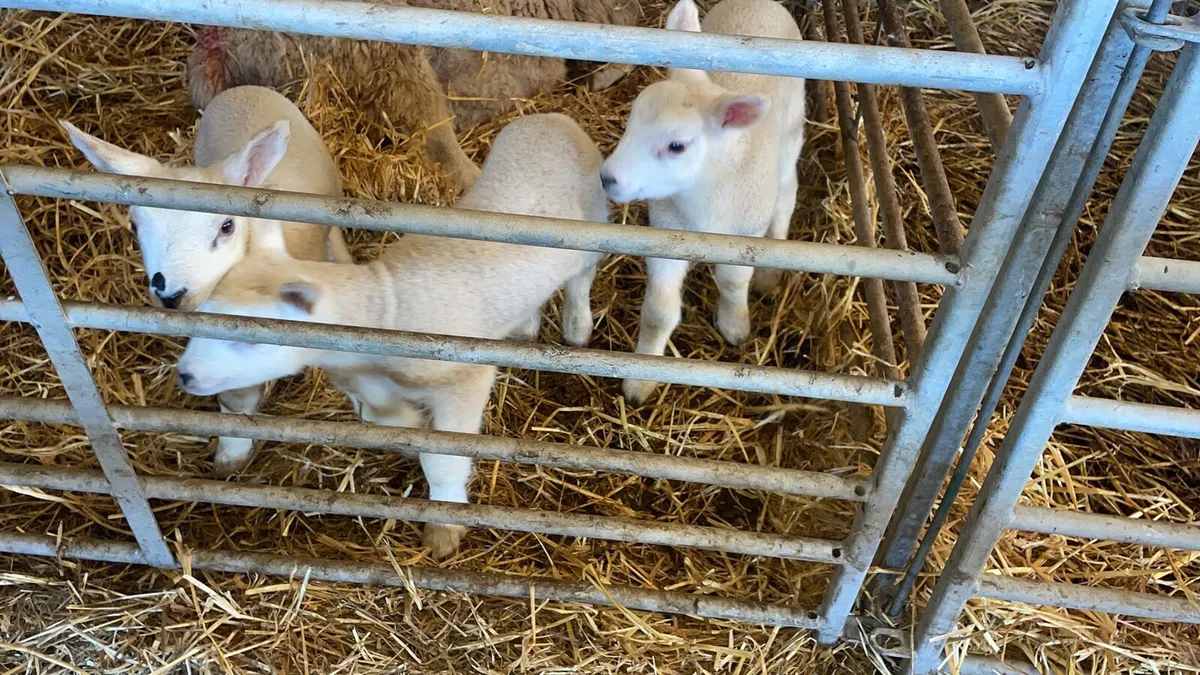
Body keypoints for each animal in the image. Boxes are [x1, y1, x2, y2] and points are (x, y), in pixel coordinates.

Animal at [61, 85, 355, 477]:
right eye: (135, 225)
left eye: (227, 226)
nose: (170, 294)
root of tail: (244, 89)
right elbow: (233, 394)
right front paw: (231, 454)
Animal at [174, 113, 608, 558]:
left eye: (250, 337)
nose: (185, 375)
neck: (386, 310)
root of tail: (554, 117)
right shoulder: (364, 378)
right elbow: (382, 417)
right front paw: (407, 425)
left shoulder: (464, 379)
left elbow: (444, 458)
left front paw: (444, 528)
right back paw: (525, 326)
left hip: (594, 223)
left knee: (582, 276)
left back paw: (577, 327)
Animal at [598, 0, 806, 405]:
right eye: (630, 123)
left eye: (677, 145)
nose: (608, 178)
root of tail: (761, 2)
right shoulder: (666, 234)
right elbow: (658, 312)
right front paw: (640, 380)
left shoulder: (743, 234)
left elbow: (733, 283)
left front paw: (735, 325)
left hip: (791, 135)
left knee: (786, 194)